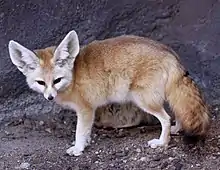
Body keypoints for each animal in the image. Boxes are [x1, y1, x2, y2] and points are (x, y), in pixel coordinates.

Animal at [8, 30, 210, 155]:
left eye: (57, 81)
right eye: (41, 83)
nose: (50, 97)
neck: (73, 76)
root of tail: (169, 52)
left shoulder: (86, 109)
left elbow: (80, 131)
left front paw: (78, 148)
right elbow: (86, 131)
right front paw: (86, 143)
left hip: (144, 100)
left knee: (166, 118)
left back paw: (162, 142)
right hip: (161, 96)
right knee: (177, 111)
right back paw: (177, 129)